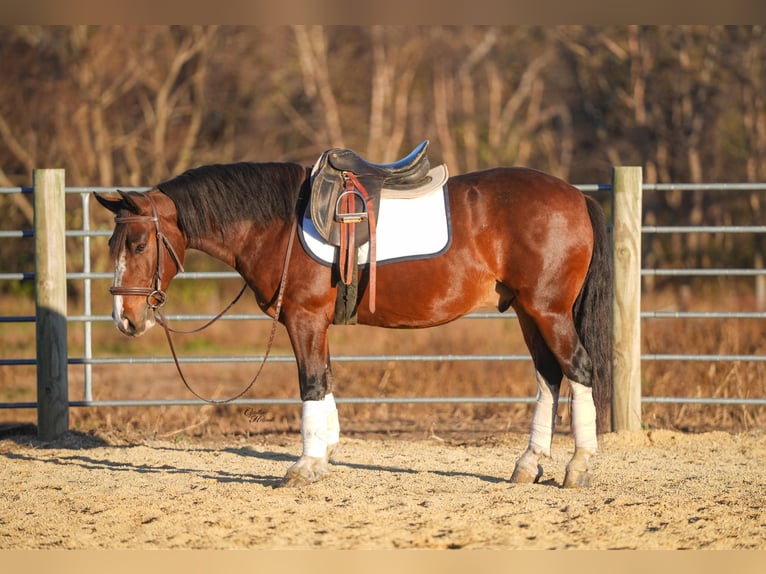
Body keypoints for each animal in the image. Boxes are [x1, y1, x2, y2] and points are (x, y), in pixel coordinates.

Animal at [95, 158, 612, 489]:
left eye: (138, 245)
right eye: (112, 245)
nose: (125, 319)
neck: (279, 224)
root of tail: (575, 196)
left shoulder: (303, 319)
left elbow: (310, 383)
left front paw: (305, 465)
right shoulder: (313, 323)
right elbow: (325, 380)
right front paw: (324, 455)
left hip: (547, 311)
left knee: (578, 370)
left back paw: (579, 467)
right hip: (528, 312)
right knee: (548, 376)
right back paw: (529, 464)